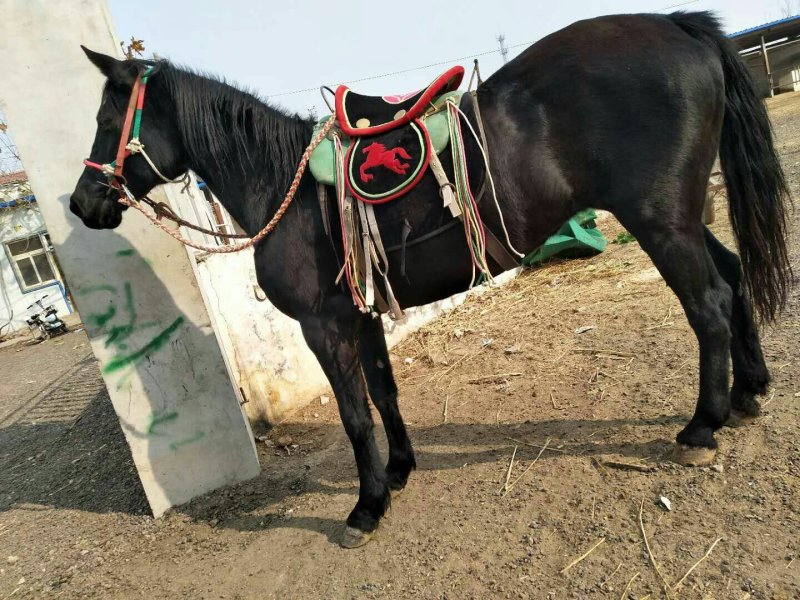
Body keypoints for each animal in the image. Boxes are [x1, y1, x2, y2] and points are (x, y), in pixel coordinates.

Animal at [70, 11, 791, 548]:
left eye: (107, 122)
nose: (82, 205)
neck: (284, 184)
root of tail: (675, 26)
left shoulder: (323, 326)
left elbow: (354, 414)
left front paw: (365, 507)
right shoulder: (360, 315)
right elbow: (384, 395)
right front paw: (399, 471)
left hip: (659, 220)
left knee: (708, 303)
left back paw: (702, 426)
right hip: (682, 216)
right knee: (732, 281)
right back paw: (748, 393)